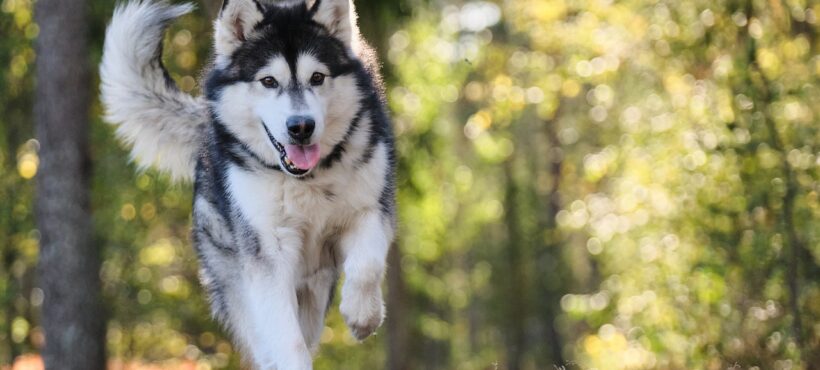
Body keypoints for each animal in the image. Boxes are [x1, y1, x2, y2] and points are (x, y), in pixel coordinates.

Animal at [97, 0, 398, 368]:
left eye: (317, 77)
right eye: (268, 81)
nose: (301, 127)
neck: (307, 180)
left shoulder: (371, 209)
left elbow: (367, 265)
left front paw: (363, 316)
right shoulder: (267, 255)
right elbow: (286, 340)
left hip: (313, 290)